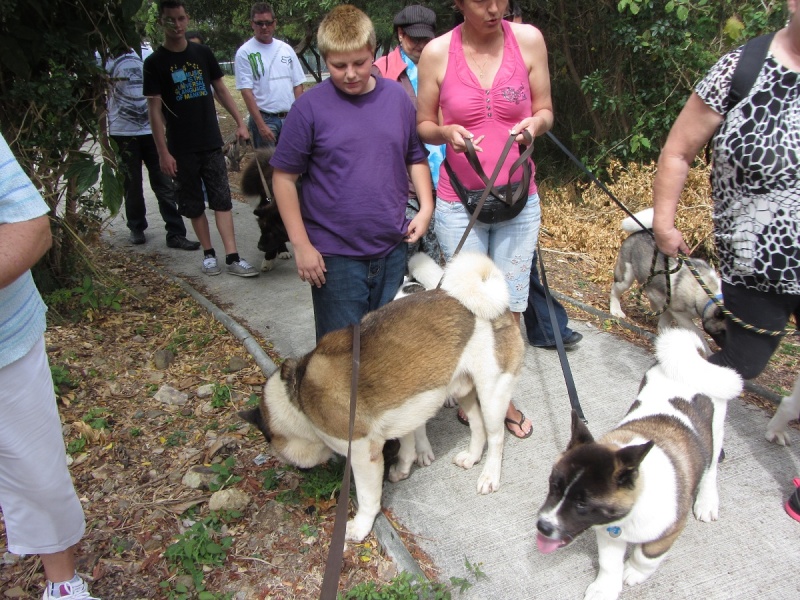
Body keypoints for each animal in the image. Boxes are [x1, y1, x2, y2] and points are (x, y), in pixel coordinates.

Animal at [238, 251, 524, 540]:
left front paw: (360, 525)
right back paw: (472, 457)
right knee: (477, 426)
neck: (297, 397)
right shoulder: (404, 411)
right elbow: (408, 442)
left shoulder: (362, 453)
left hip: (492, 395)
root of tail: (495, 302)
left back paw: (490, 476)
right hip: (464, 389)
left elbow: (367, 496)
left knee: (496, 437)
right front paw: (405, 466)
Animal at [536, 328, 740, 600]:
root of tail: (692, 357)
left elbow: (647, 555)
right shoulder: (608, 530)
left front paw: (634, 571)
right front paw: (605, 588)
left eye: (582, 504)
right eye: (554, 487)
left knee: (710, 467)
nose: (543, 526)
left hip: (715, 430)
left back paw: (707, 501)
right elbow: (608, 563)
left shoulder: (671, 529)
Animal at [608, 209, 728, 354]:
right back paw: (615, 310)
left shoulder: (670, 307)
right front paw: (707, 352)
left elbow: (665, 320)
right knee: (615, 290)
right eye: (724, 332)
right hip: (626, 277)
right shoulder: (680, 315)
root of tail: (643, 231)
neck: (707, 290)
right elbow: (698, 334)